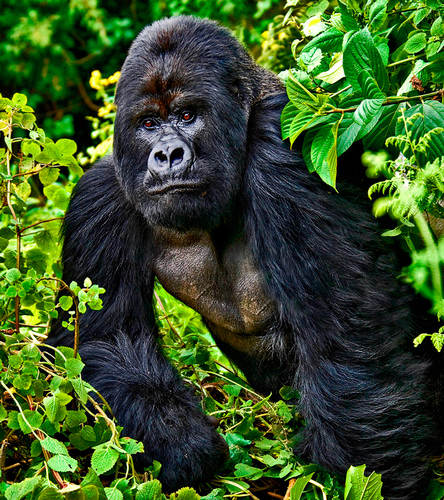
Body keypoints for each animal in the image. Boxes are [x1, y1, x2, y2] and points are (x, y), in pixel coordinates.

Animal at [49, 15, 440, 500]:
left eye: (187, 116)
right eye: (148, 123)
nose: (168, 154)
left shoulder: (284, 147)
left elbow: (346, 331)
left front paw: (368, 480)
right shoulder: (101, 196)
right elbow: (101, 339)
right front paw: (183, 445)